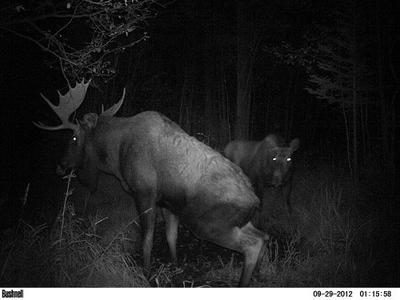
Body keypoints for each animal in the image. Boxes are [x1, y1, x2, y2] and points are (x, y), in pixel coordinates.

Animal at [32, 81, 268, 288]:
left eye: (73, 137)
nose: (60, 166)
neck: (116, 155)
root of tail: (255, 199)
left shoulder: (144, 193)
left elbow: (147, 238)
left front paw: (145, 273)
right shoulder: (168, 202)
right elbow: (171, 236)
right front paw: (174, 265)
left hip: (210, 223)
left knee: (253, 244)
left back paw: (243, 282)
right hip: (239, 222)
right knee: (263, 236)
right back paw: (259, 273)